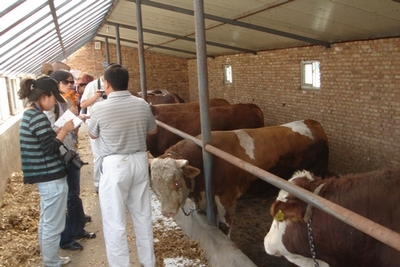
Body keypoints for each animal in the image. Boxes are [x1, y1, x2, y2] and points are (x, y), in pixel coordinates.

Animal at [148, 119, 330, 234]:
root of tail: (312, 122)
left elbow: (224, 227)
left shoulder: (227, 200)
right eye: (155, 185)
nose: (167, 212)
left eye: (176, 183)